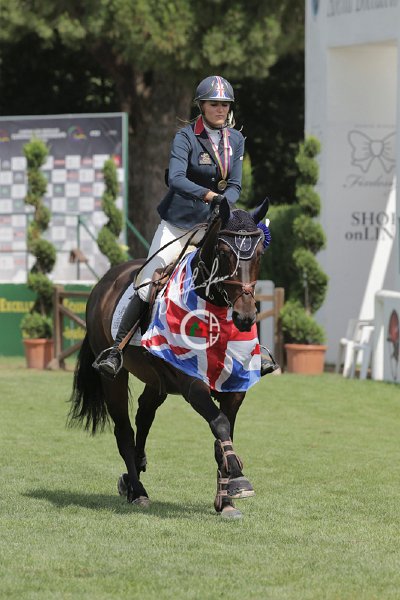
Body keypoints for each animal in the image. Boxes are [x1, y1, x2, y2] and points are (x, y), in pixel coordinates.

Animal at [69, 197, 269, 519]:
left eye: (261, 251)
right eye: (224, 252)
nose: (245, 317)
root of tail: (106, 280)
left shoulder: (234, 388)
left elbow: (223, 434)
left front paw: (226, 499)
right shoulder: (192, 385)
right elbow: (220, 424)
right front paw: (239, 479)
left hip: (157, 381)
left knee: (144, 415)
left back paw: (132, 477)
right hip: (114, 378)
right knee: (124, 431)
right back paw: (138, 491)